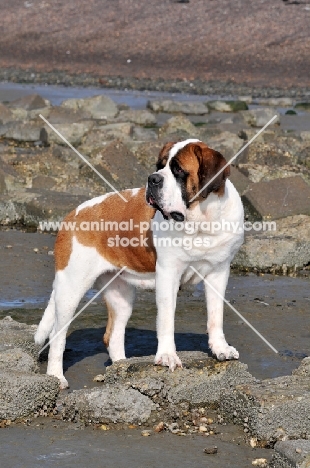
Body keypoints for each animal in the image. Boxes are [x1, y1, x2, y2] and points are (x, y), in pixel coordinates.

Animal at [35, 138, 245, 388]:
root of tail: (73, 213)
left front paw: (221, 348)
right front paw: (167, 356)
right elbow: (166, 319)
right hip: (70, 288)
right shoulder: (168, 275)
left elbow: (216, 315)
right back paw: (56, 377)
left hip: (121, 295)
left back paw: (121, 369)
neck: (201, 221)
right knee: (57, 335)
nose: (153, 178)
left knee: (113, 336)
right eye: (159, 166)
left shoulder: (219, 273)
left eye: (178, 170)